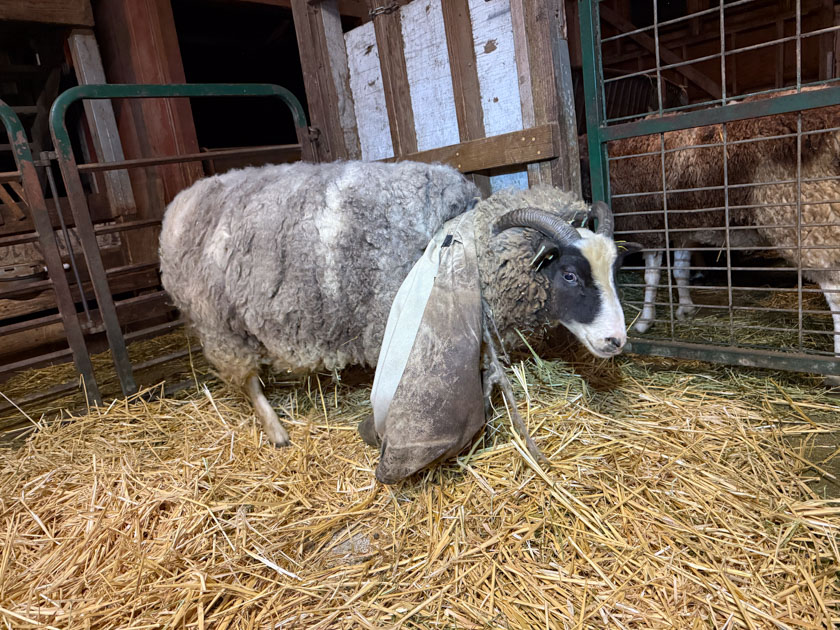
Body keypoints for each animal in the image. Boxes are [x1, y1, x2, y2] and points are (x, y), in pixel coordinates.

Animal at [160, 160, 640, 446]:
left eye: (614, 268)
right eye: (570, 274)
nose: (617, 340)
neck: (461, 242)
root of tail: (179, 203)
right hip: (219, 322)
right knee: (246, 382)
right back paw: (277, 431)